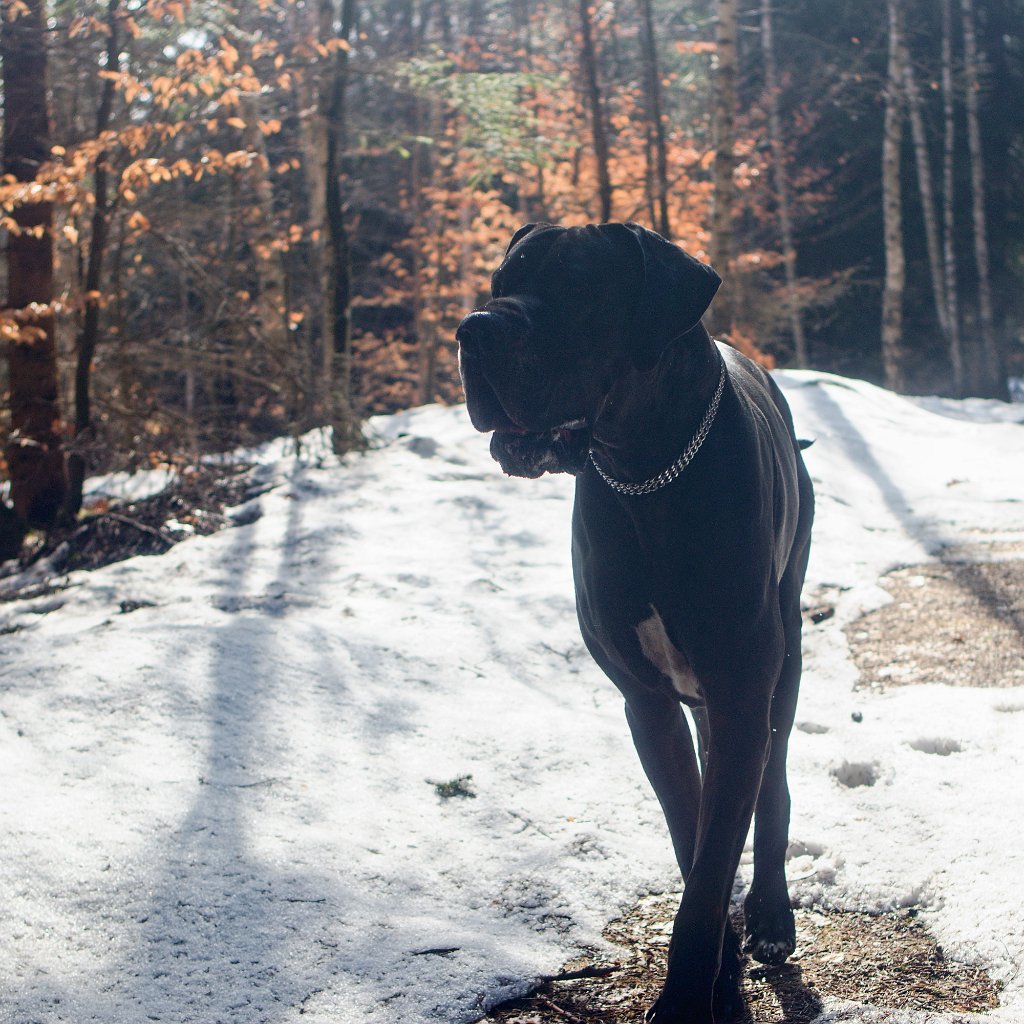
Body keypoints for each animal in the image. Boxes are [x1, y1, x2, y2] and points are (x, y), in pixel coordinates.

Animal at [458, 224, 815, 1024]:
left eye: (580, 287)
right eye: (500, 280)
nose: (474, 330)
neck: (647, 474)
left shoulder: (741, 692)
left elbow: (712, 865)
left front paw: (688, 998)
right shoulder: (646, 704)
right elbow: (694, 844)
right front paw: (719, 987)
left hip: (785, 655)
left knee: (775, 782)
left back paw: (771, 916)